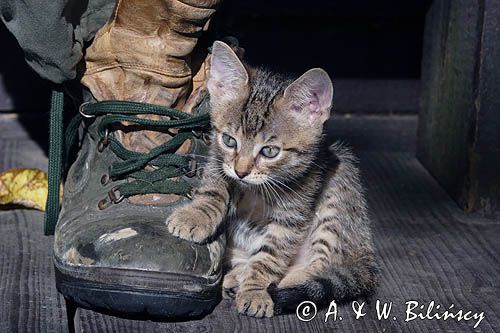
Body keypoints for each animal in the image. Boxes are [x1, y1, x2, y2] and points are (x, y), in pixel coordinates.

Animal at [166, 40, 376, 316]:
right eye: (229, 140)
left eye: (269, 151)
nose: (241, 171)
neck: (256, 190)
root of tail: (364, 247)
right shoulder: (217, 159)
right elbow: (214, 187)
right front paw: (196, 215)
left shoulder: (293, 213)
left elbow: (271, 255)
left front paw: (255, 291)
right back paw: (236, 275)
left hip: (341, 184)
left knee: (325, 262)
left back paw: (288, 282)